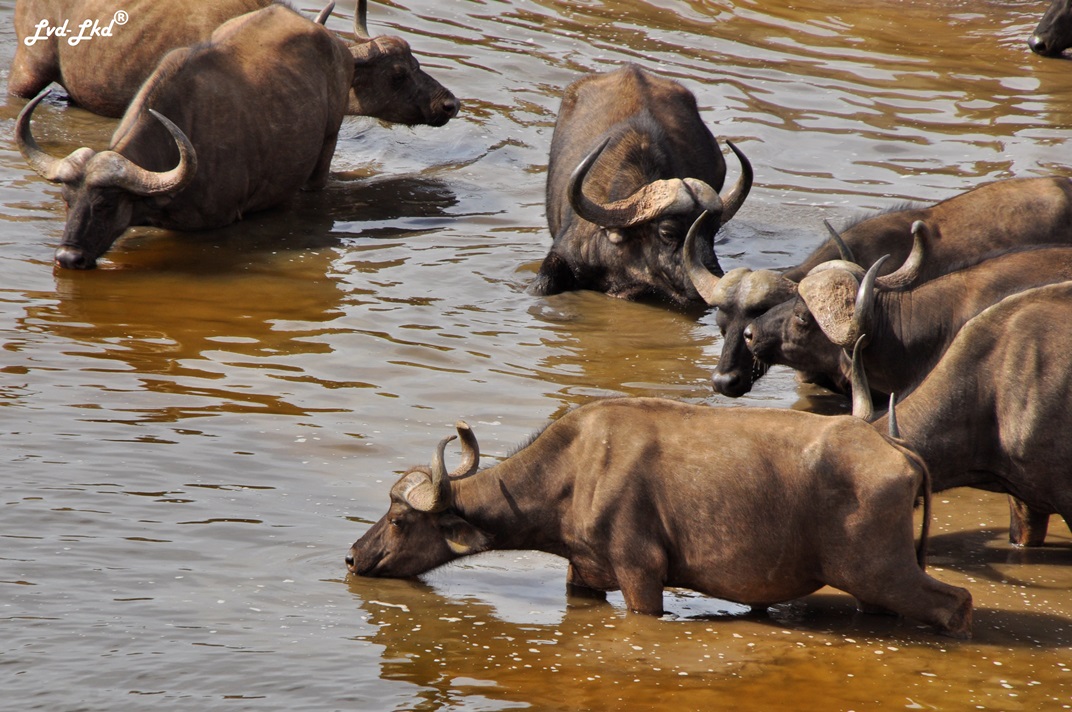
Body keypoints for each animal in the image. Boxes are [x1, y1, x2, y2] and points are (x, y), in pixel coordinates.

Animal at [346, 398, 973, 638]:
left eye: (399, 522)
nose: (353, 556)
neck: (574, 471)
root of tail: (896, 450)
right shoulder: (584, 573)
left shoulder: (641, 574)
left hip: (883, 570)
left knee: (957, 604)